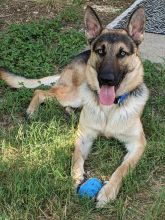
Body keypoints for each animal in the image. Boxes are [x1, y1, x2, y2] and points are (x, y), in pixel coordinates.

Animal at [0, 6, 150, 207]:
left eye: (122, 53)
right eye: (100, 51)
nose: (106, 79)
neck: (109, 109)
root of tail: (80, 56)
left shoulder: (137, 144)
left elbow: (123, 168)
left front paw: (107, 192)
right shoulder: (83, 136)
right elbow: (76, 155)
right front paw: (75, 177)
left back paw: (70, 113)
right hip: (75, 94)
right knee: (41, 92)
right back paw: (32, 111)